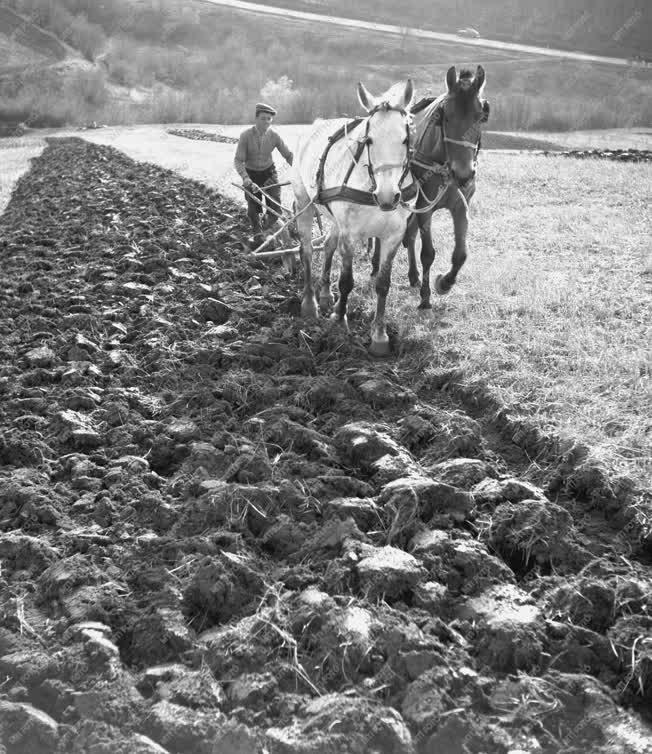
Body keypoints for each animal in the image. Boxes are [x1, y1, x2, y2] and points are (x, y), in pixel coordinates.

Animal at [292, 81, 416, 356]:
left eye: (405, 139)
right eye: (369, 140)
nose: (388, 196)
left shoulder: (393, 235)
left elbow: (383, 284)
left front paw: (379, 336)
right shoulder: (351, 233)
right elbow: (347, 281)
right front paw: (339, 321)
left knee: (328, 245)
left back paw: (325, 294)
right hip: (304, 203)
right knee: (307, 250)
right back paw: (310, 303)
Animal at [372, 64, 488, 308]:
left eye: (480, 117)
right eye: (446, 118)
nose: (463, 173)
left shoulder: (460, 204)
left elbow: (461, 254)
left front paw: (444, 283)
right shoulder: (425, 206)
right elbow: (427, 253)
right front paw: (425, 297)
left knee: (410, 234)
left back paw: (413, 276)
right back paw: (377, 263)